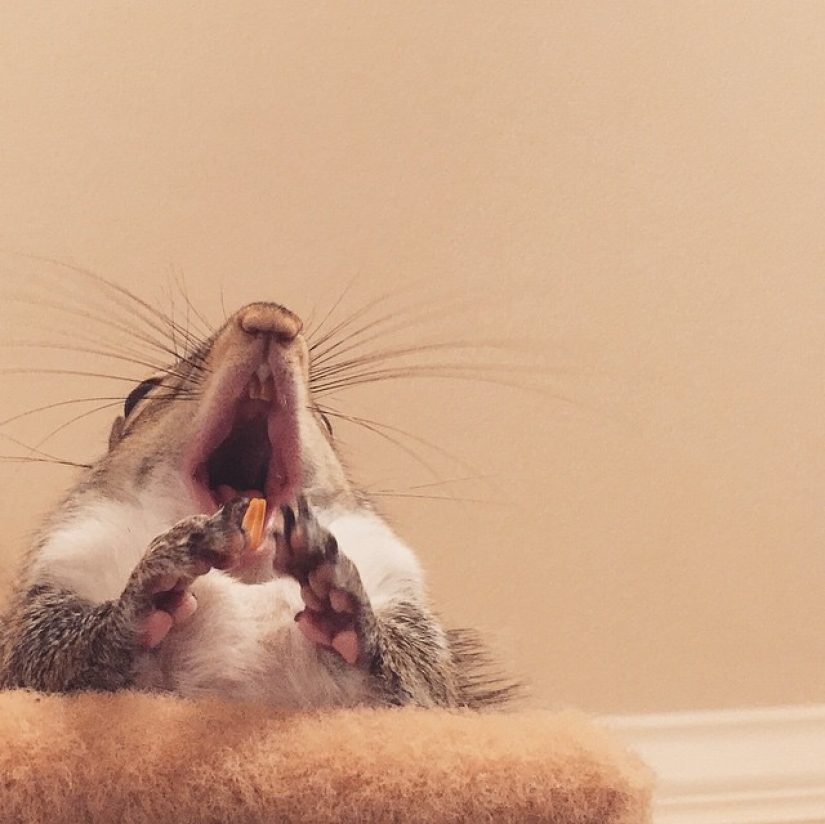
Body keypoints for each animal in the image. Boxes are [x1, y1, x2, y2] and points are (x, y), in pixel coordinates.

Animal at [0, 300, 513, 709]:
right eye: (138, 395)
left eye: (327, 425)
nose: (270, 318)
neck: (246, 576)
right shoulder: (50, 595)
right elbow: (41, 660)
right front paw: (148, 588)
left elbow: (422, 681)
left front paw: (344, 603)